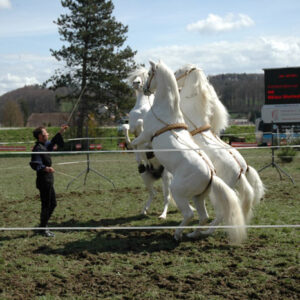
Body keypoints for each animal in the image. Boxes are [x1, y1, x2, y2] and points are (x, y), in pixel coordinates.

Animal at [122, 67, 173, 219]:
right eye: (135, 76)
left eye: (145, 76)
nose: (136, 83)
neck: (141, 107)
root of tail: (157, 174)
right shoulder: (130, 125)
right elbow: (126, 128)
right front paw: (131, 146)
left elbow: (141, 125)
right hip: (145, 177)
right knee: (153, 193)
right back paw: (144, 211)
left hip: (166, 178)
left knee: (166, 197)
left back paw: (162, 215)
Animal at [132, 59, 247, 244]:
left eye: (149, 74)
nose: (145, 89)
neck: (166, 110)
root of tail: (212, 174)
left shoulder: (147, 135)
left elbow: (135, 142)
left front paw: (140, 161)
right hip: (198, 197)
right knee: (204, 216)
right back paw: (194, 234)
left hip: (178, 192)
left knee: (190, 214)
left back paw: (179, 234)